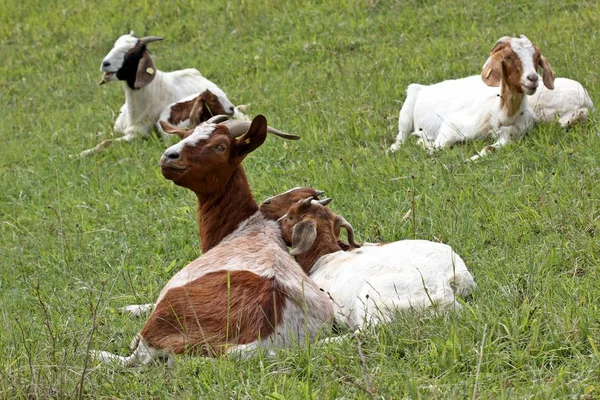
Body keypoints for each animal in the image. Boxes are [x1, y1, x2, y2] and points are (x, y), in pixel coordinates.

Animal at [390, 34, 556, 159]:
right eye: (508, 56)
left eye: (537, 57)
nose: (532, 78)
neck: (503, 114)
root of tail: (425, 87)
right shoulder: (451, 127)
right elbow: (437, 148)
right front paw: (424, 144)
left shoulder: (510, 136)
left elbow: (488, 149)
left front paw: (472, 158)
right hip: (406, 112)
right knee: (400, 138)